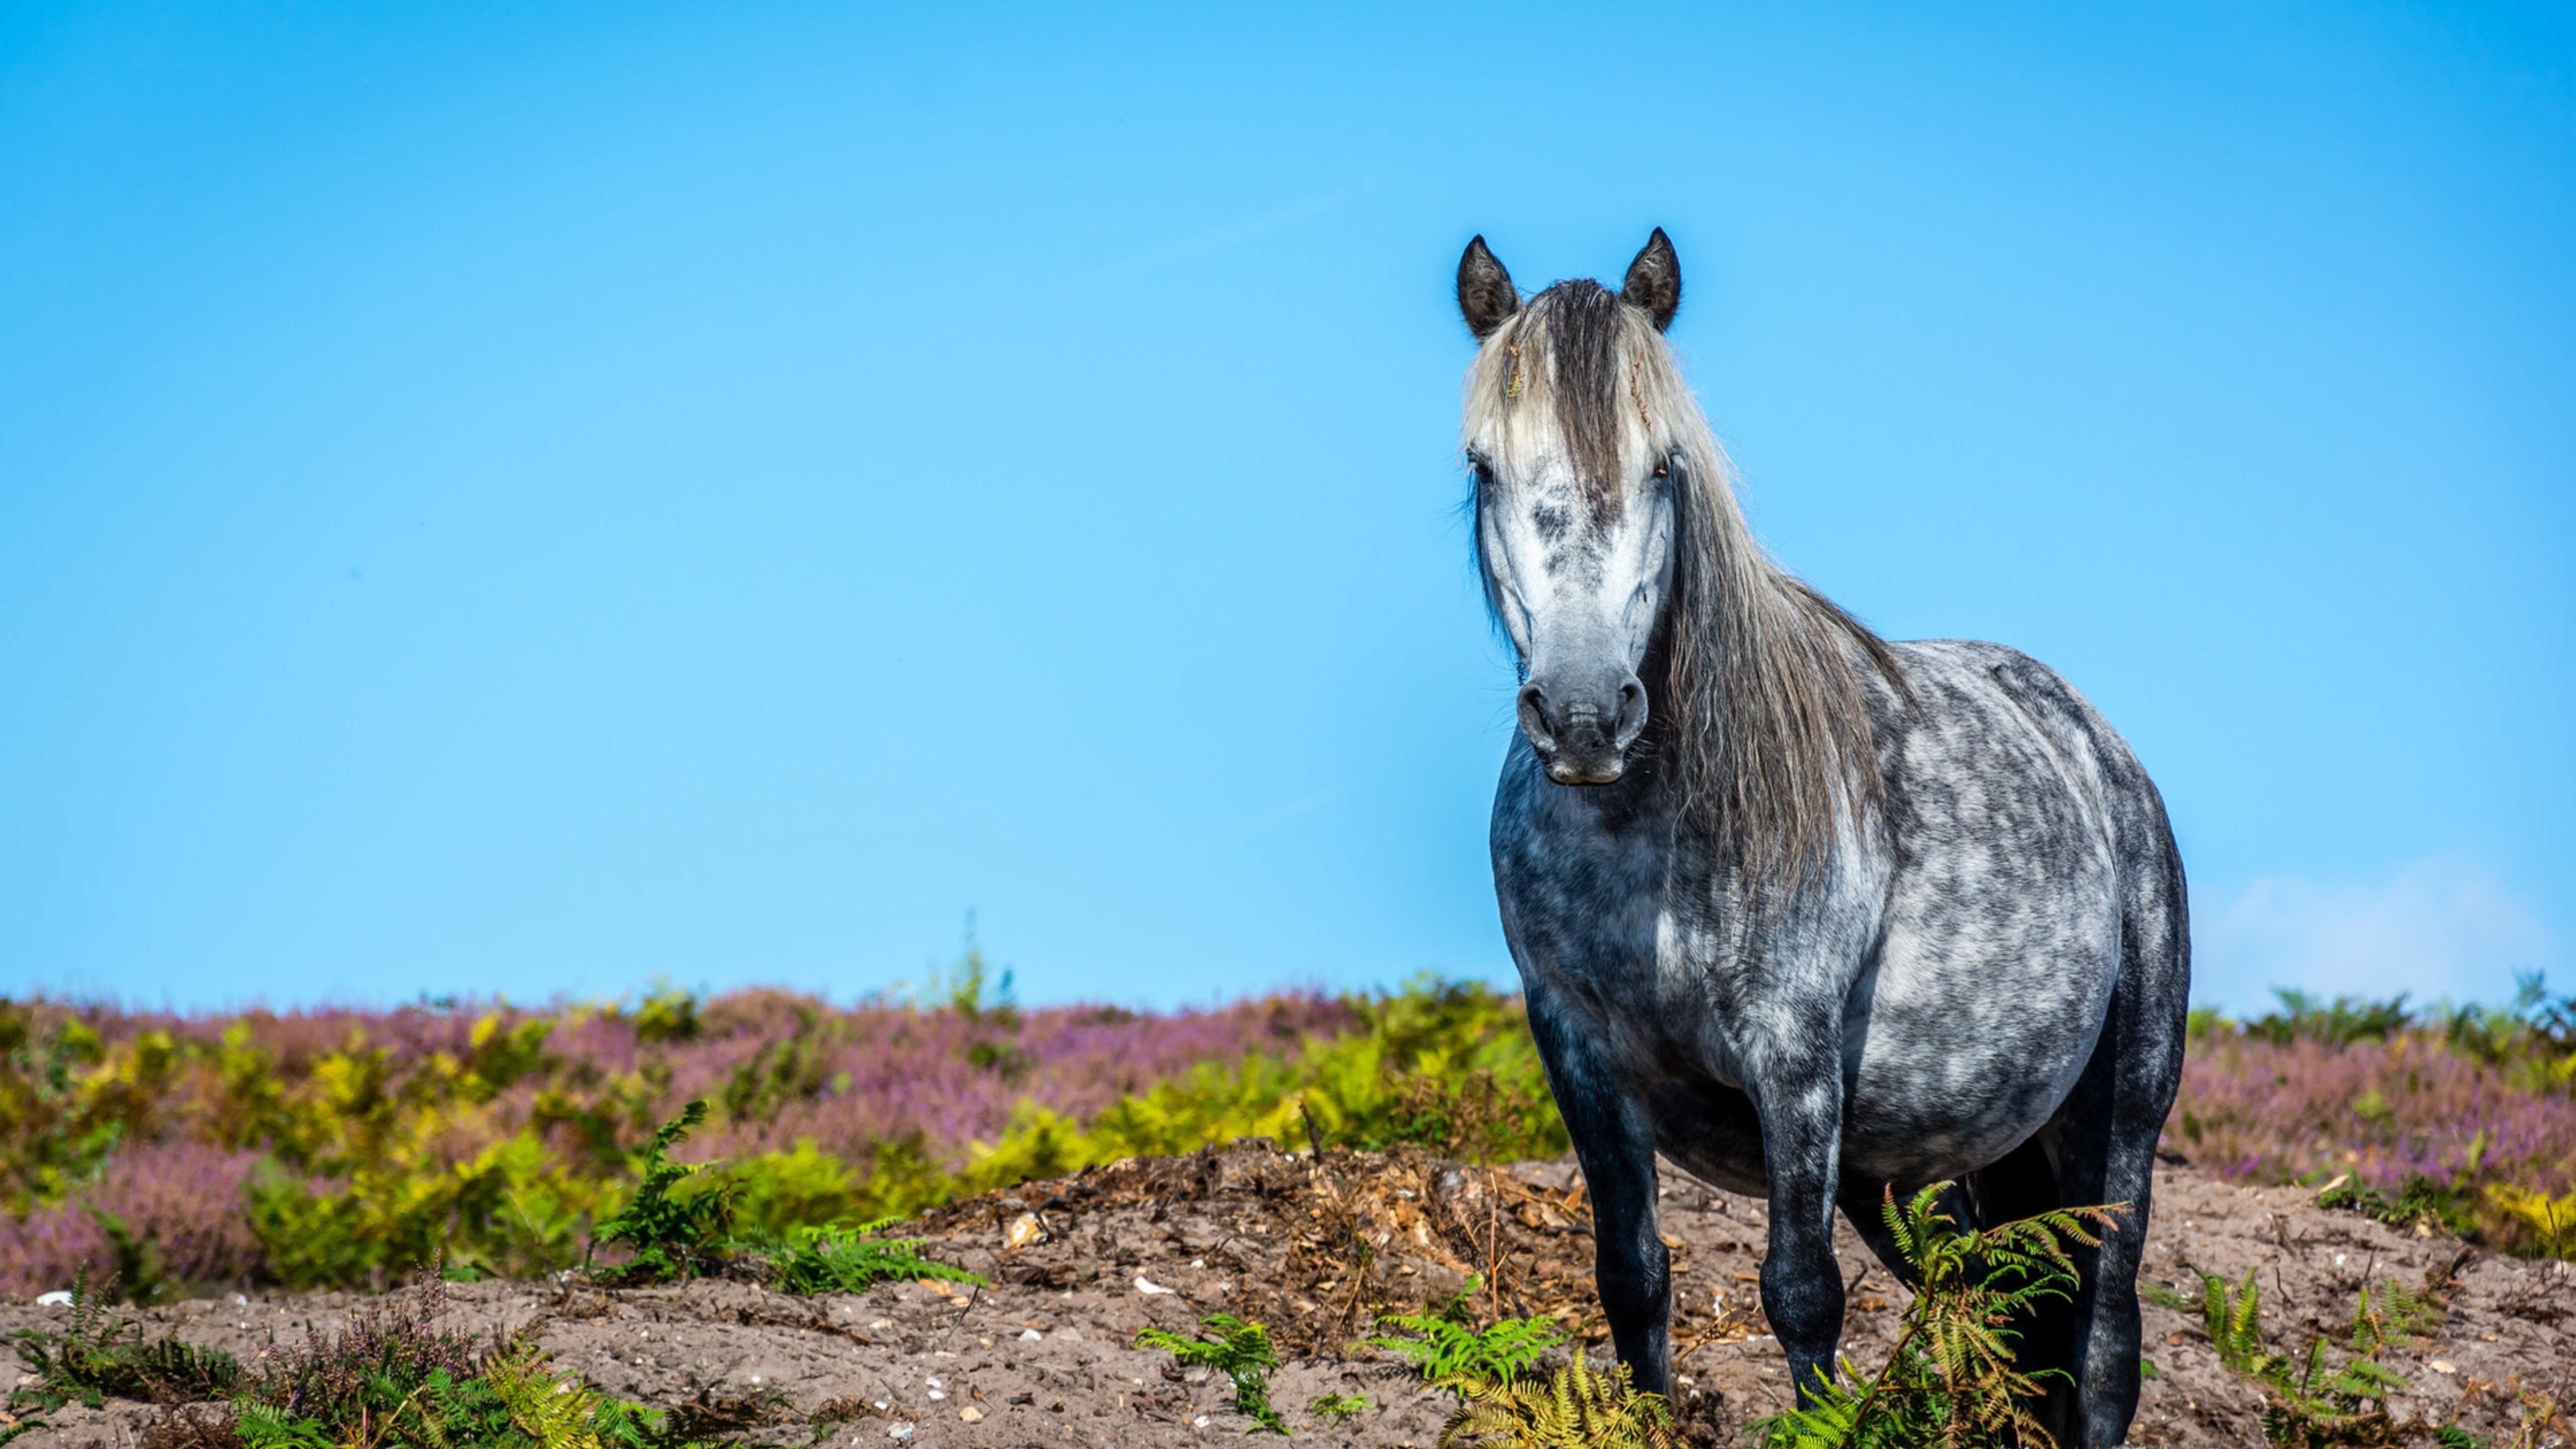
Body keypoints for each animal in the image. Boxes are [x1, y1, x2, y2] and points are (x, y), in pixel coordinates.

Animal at [1463, 230, 2184, 1433]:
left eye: (1663, 466)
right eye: (1482, 468)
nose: (1583, 713)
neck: (1645, 834)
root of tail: (2098, 747)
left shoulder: (1792, 1057)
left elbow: (1799, 1294)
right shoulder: (1578, 1052)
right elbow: (1633, 1280)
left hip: (2116, 1121)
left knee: (2102, 1349)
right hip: (1923, 1174)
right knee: (2004, 1317)